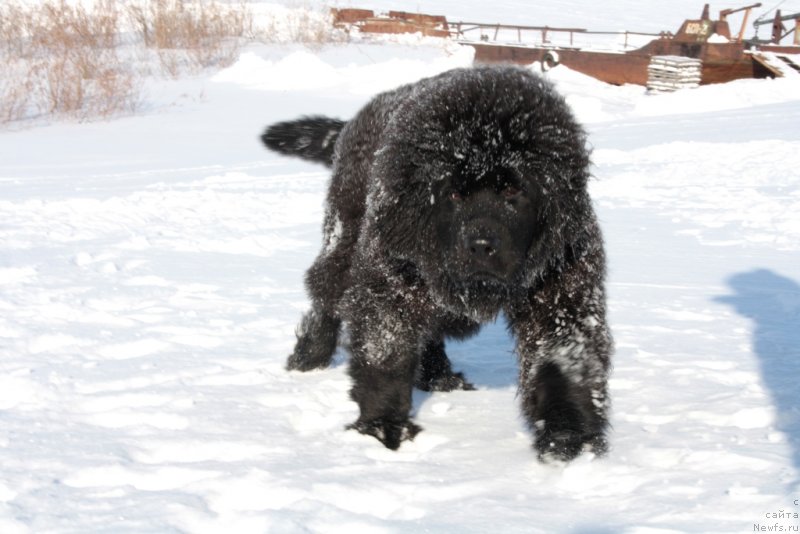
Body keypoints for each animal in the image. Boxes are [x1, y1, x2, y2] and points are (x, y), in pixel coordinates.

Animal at [262, 65, 612, 462]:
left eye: (512, 190)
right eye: (455, 194)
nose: (481, 246)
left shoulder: (561, 285)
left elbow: (563, 361)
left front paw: (571, 438)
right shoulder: (390, 283)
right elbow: (385, 354)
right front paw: (382, 426)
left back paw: (439, 376)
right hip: (345, 237)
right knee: (327, 296)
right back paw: (308, 359)